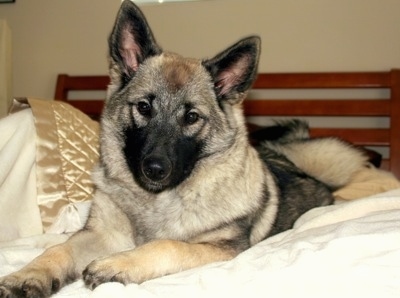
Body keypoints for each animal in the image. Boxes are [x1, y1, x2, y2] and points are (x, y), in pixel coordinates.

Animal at [0, 1, 366, 296]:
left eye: (191, 117)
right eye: (144, 107)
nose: (154, 169)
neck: (156, 201)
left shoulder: (220, 248)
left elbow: (167, 245)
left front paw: (118, 264)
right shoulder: (100, 234)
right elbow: (58, 250)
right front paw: (28, 275)